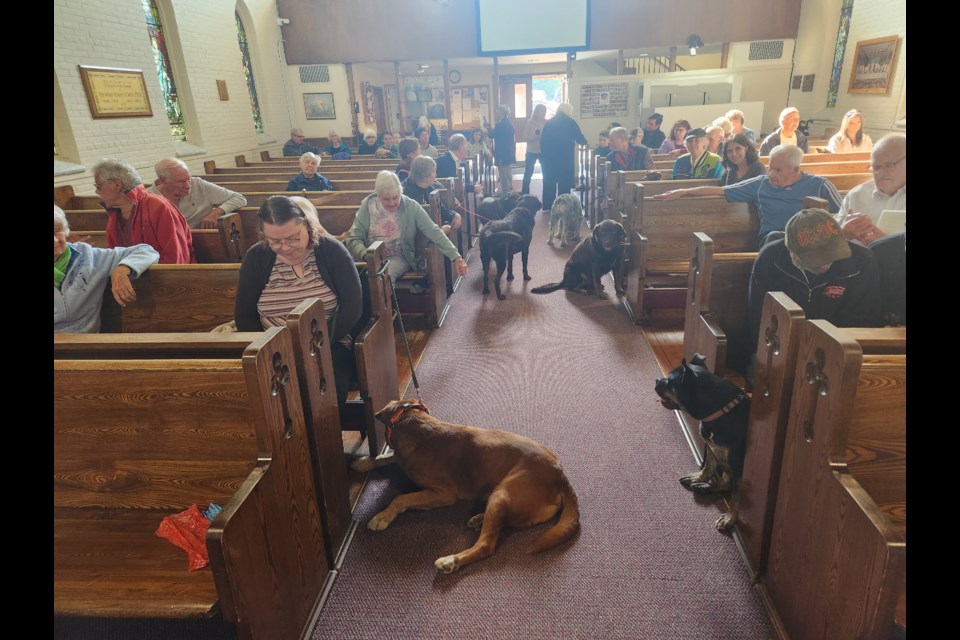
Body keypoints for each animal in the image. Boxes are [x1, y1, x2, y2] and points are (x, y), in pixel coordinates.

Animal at [350, 400, 576, 576]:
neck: (415, 423)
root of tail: (560, 474)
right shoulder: (399, 458)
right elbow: (385, 457)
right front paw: (364, 462)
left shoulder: (444, 493)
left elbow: (402, 498)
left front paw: (382, 516)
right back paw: (479, 519)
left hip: (502, 492)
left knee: (486, 545)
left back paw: (451, 561)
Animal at [652, 356, 752, 528]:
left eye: (669, 381)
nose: (658, 379)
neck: (718, 411)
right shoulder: (711, 448)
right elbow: (708, 466)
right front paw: (698, 478)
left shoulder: (738, 466)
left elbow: (735, 497)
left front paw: (730, 519)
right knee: (725, 482)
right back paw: (703, 487)